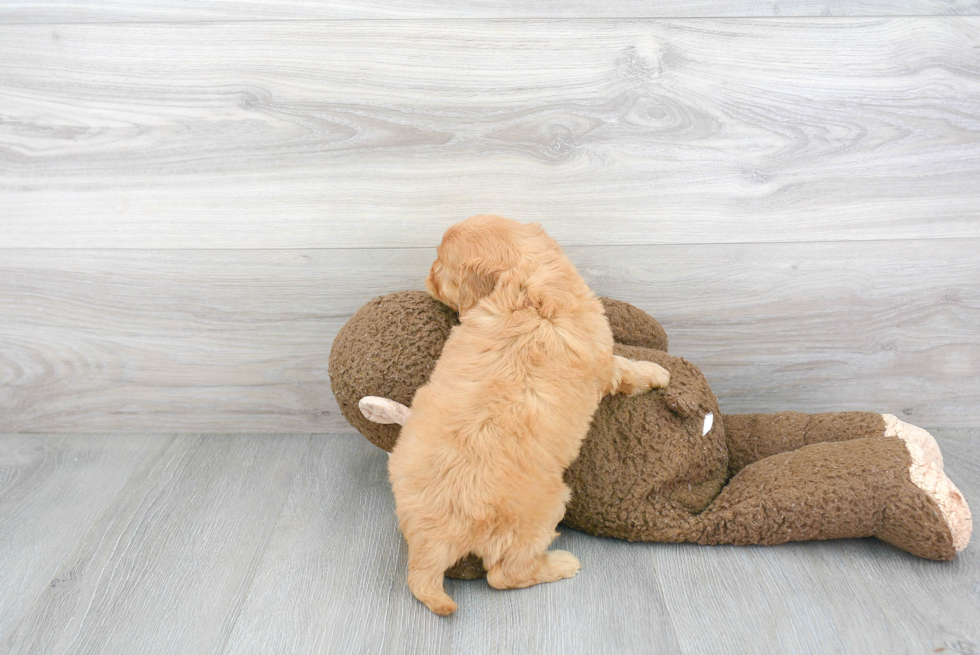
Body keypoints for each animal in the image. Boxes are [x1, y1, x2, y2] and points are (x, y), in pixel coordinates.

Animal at [386, 215, 668, 616]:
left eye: (440, 266)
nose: (427, 276)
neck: (525, 284)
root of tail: (435, 536)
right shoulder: (602, 358)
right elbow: (627, 368)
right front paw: (658, 373)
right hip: (543, 510)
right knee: (504, 575)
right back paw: (560, 563)